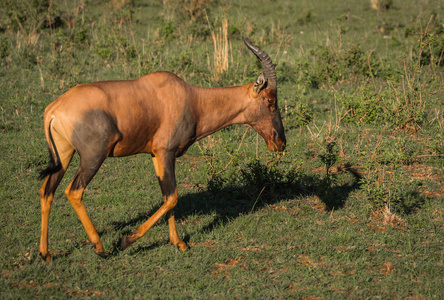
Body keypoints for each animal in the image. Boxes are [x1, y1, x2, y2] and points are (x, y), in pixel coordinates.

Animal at [40, 38, 286, 262]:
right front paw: (126, 240)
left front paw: (178, 243)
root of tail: (54, 109)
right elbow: (173, 197)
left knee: (46, 191)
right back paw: (99, 247)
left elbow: (167, 196)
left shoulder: (155, 155)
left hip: (64, 156)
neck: (192, 98)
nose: (280, 142)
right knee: (74, 191)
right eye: (270, 100)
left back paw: (46, 254)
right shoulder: (166, 152)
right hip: (93, 157)